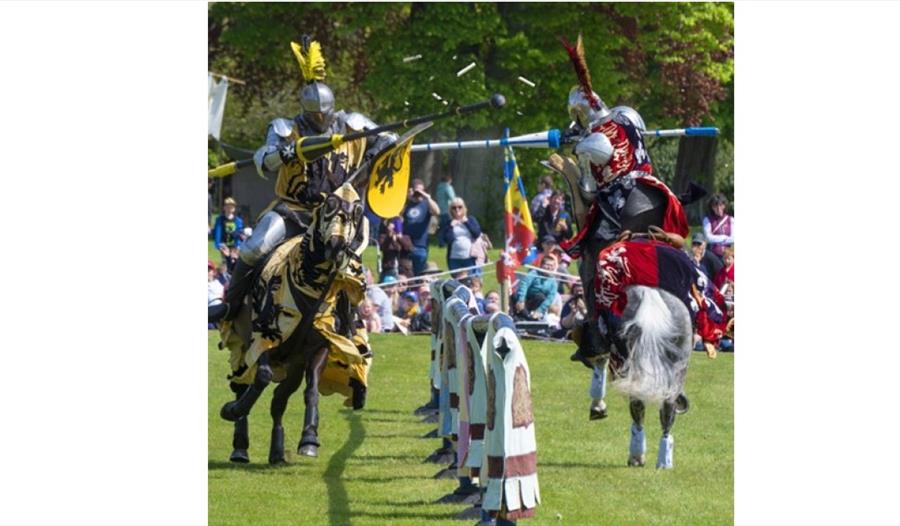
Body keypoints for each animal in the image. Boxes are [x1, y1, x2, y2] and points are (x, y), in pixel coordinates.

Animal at [218, 184, 370, 464]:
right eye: (328, 206)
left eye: (356, 213)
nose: (336, 245)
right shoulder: (263, 338)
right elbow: (262, 376)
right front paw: (231, 410)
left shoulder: (318, 347)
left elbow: (311, 389)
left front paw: (309, 439)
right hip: (242, 346)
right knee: (241, 384)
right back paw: (240, 447)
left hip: (293, 366)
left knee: (279, 400)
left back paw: (277, 451)